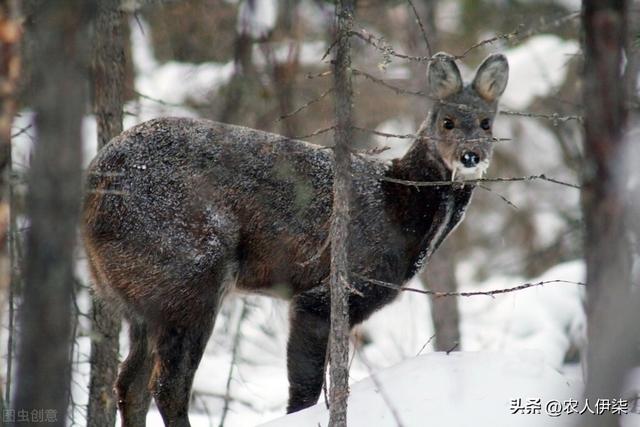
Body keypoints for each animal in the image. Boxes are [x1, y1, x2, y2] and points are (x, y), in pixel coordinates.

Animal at [81, 53, 510, 427]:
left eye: (487, 123)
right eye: (447, 122)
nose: (470, 156)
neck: (399, 208)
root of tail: (94, 184)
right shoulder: (329, 291)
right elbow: (303, 392)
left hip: (140, 296)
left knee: (130, 384)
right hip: (187, 272)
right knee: (166, 385)